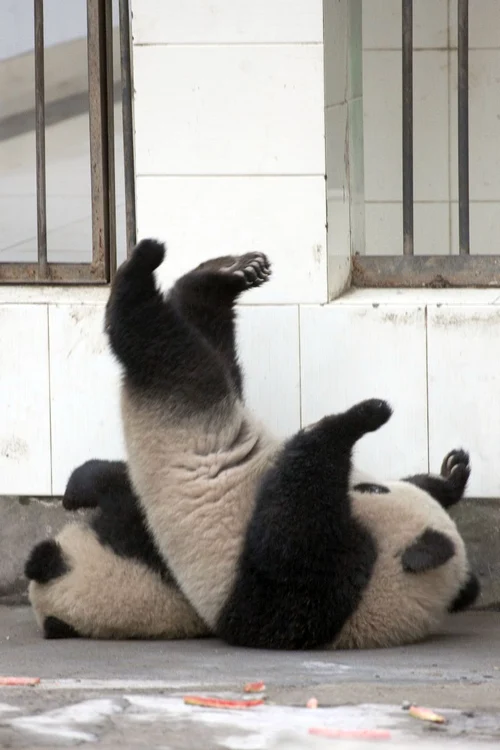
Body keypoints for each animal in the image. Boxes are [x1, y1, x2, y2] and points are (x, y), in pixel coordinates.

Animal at [94, 237, 479, 649]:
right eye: (372, 487)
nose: (366, 484)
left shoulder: (307, 599)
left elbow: (285, 535)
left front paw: (358, 418)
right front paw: (450, 474)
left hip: (181, 404)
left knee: (167, 350)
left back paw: (142, 264)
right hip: (222, 398)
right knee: (209, 340)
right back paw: (229, 272)